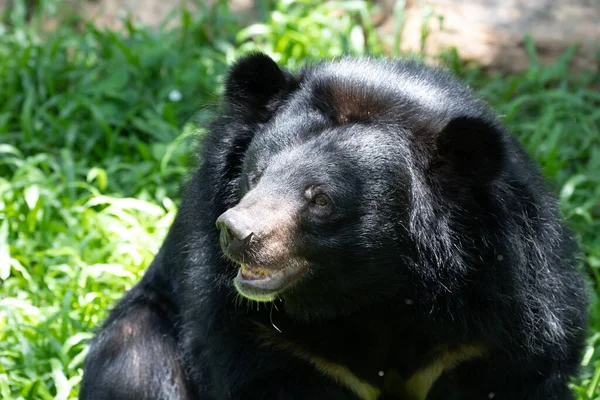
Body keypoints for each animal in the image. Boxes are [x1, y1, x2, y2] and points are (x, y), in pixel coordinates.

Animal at [81, 54, 592, 400]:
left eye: (320, 199)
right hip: (143, 334)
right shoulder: (256, 340)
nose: (237, 233)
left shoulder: (500, 324)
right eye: (255, 175)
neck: (377, 292)